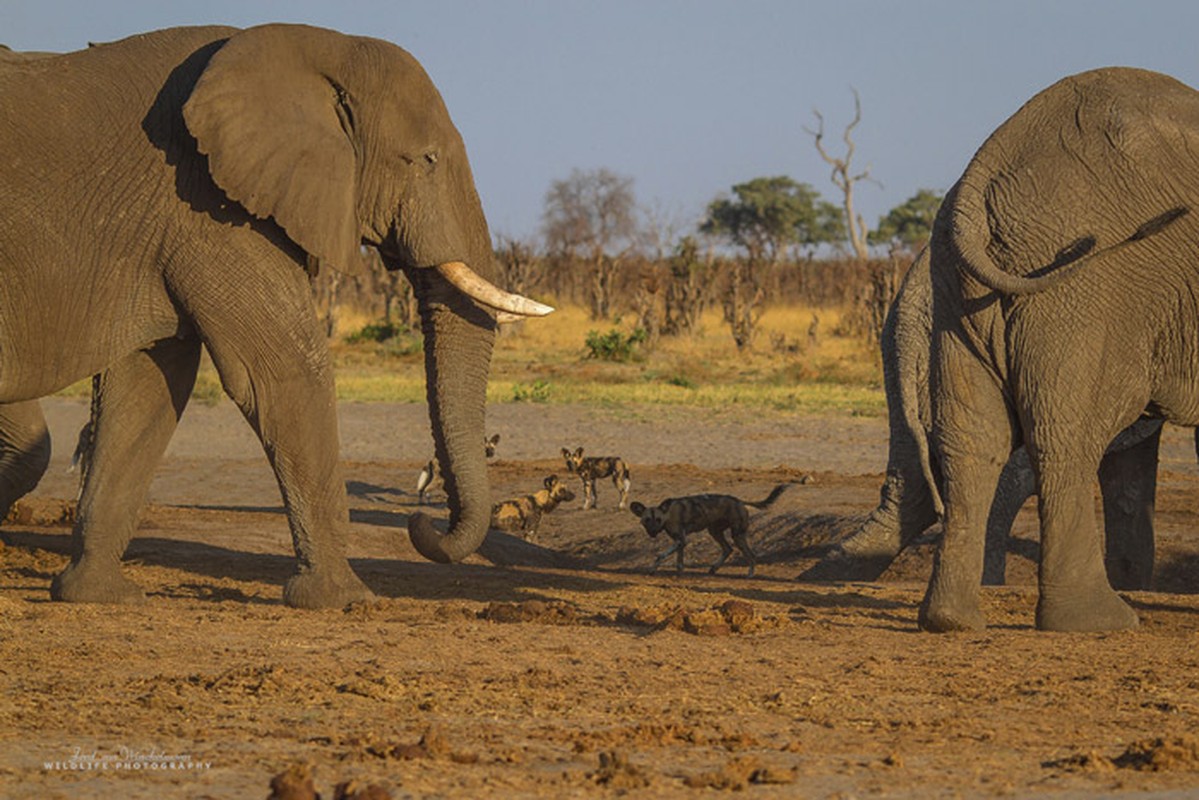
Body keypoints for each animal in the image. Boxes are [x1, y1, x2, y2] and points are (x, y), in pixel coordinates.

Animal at [0, 23, 551, 606]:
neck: (316, 43)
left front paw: (100, 595)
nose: (422, 525)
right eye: (426, 160)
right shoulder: (210, 208)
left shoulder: (174, 224)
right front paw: (344, 600)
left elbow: (146, 383)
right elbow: (288, 370)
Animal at [633, 482, 791, 575]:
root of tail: (740, 501)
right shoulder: (680, 541)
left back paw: (750, 574)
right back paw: (714, 568)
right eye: (647, 520)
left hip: (737, 536)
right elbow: (679, 560)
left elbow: (660, 555)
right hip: (714, 531)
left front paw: (653, 569)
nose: (653, 532)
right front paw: (680, 572)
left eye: (658, 520)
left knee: (751, 555)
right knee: (728, 549)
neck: (668, 514)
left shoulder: (680, 540)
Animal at [916, 67, 1199, 633]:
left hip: (955, 289)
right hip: (1091, 292)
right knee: (1069, 434)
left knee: (972, 437)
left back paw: (950, 620)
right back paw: (1097, 620)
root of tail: (984, 171)